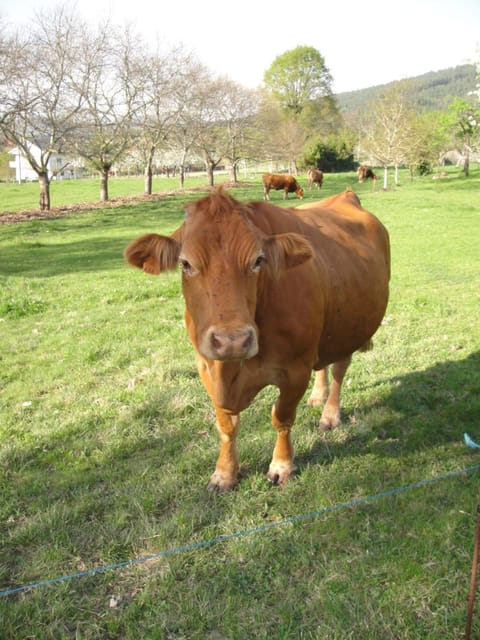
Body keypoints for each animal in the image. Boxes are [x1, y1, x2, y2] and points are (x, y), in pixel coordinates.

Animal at [125, 188, 392, 492]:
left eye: (257, 261)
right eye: (185, 263)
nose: (232, 340)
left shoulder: (295, 370)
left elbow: (282, 417)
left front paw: (282, 466)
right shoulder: (206, 366)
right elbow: (226, 424)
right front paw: (224, 473)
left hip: (349, 328)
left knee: (339, 368)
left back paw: (330, 414)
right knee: (323, 364)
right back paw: (317, 396)